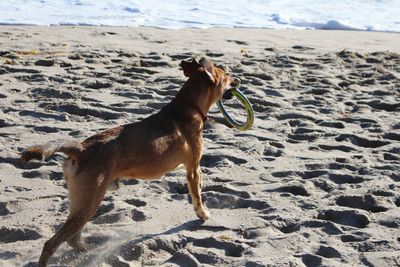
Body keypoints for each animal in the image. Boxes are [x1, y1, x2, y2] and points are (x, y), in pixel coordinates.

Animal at [21, 56, 241, 266]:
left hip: (82, 204)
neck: (189, 106)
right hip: (88, 202)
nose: (239, 80)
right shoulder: (193, 168)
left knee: (72, 238)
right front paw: (202, 213)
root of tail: (80, 149)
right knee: (52, 242)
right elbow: (197, 195)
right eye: (227, 75)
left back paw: (88, 251)